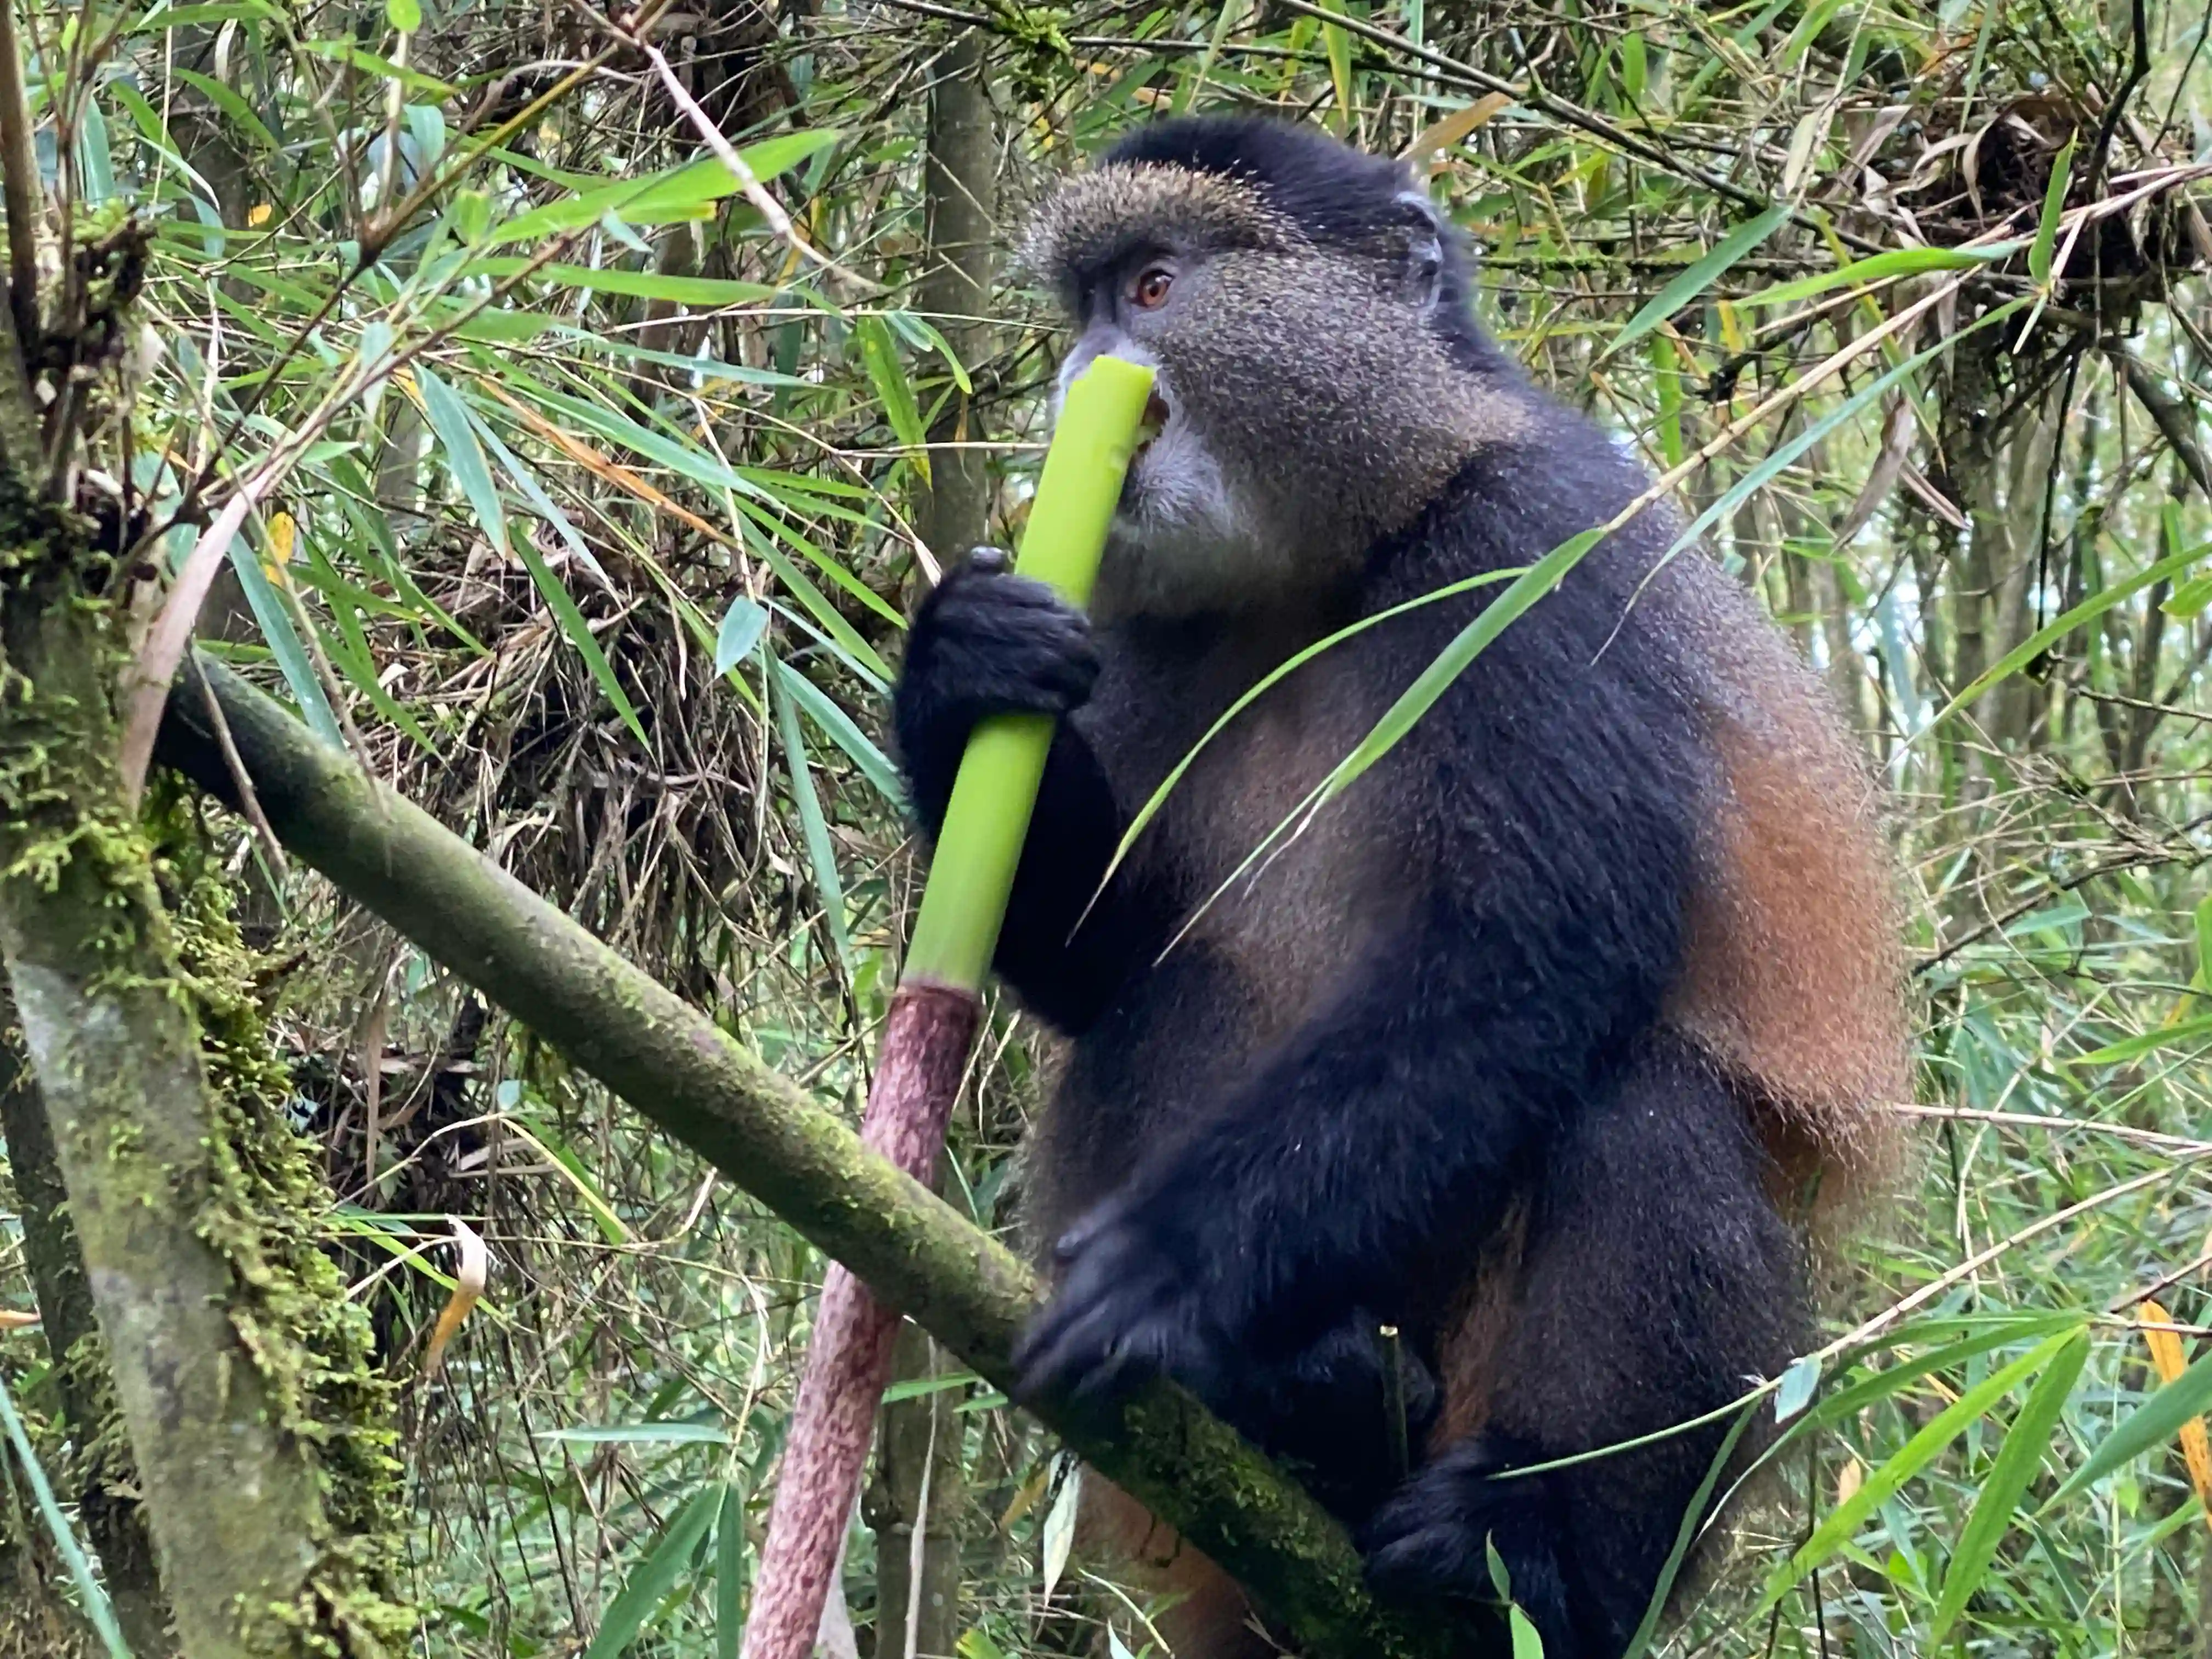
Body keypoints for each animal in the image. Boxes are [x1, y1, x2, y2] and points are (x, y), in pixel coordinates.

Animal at [891, 115, 1908, 1659]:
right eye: (1080, 310)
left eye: (1154, 288)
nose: (1078, 388)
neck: (1334, 563)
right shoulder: (1138, 623)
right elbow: (1102, 958)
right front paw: (959, 668)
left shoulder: (1524, 554)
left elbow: (1530, 954)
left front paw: (1171, 1274)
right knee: (1180, 992)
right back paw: (1306, 1403)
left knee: (1648, 1106)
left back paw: (1527, 1552)